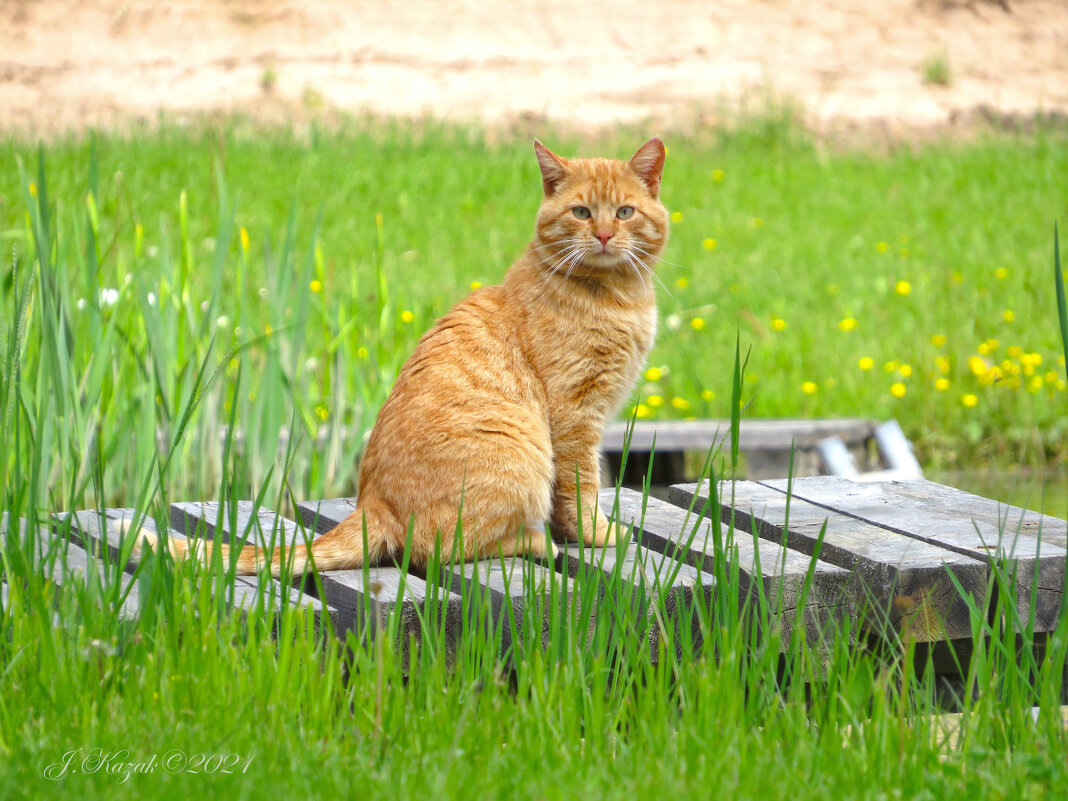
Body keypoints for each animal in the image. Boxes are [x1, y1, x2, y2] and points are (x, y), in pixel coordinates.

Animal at [143, 137, 666, 576]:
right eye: (581, 211)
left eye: (624, 212)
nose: (603, 235)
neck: (615, 293)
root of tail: (372, 504)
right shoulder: (576, 414)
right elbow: (581, 486)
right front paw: (594, 535)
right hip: (520, 454)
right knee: (440, 550)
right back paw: (534, 541)